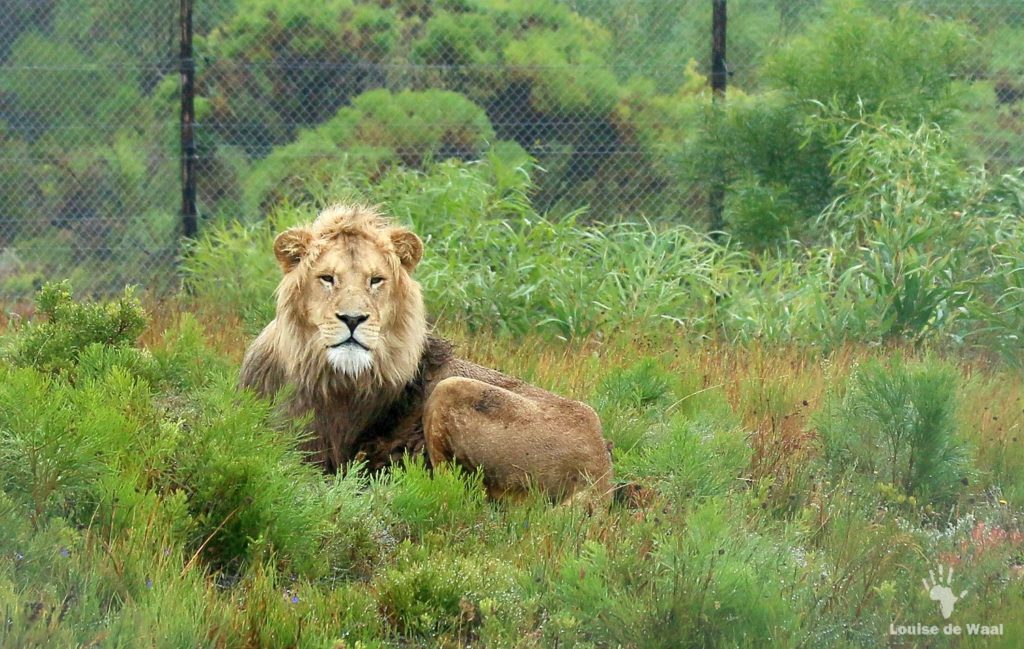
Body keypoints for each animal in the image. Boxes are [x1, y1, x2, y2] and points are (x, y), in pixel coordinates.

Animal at [235, 202, 610, 499]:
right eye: (327, 278)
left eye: (376, 280)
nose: (353, 319)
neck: (325, 376)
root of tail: (602, 475)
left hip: (451, 389)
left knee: (461, 494)